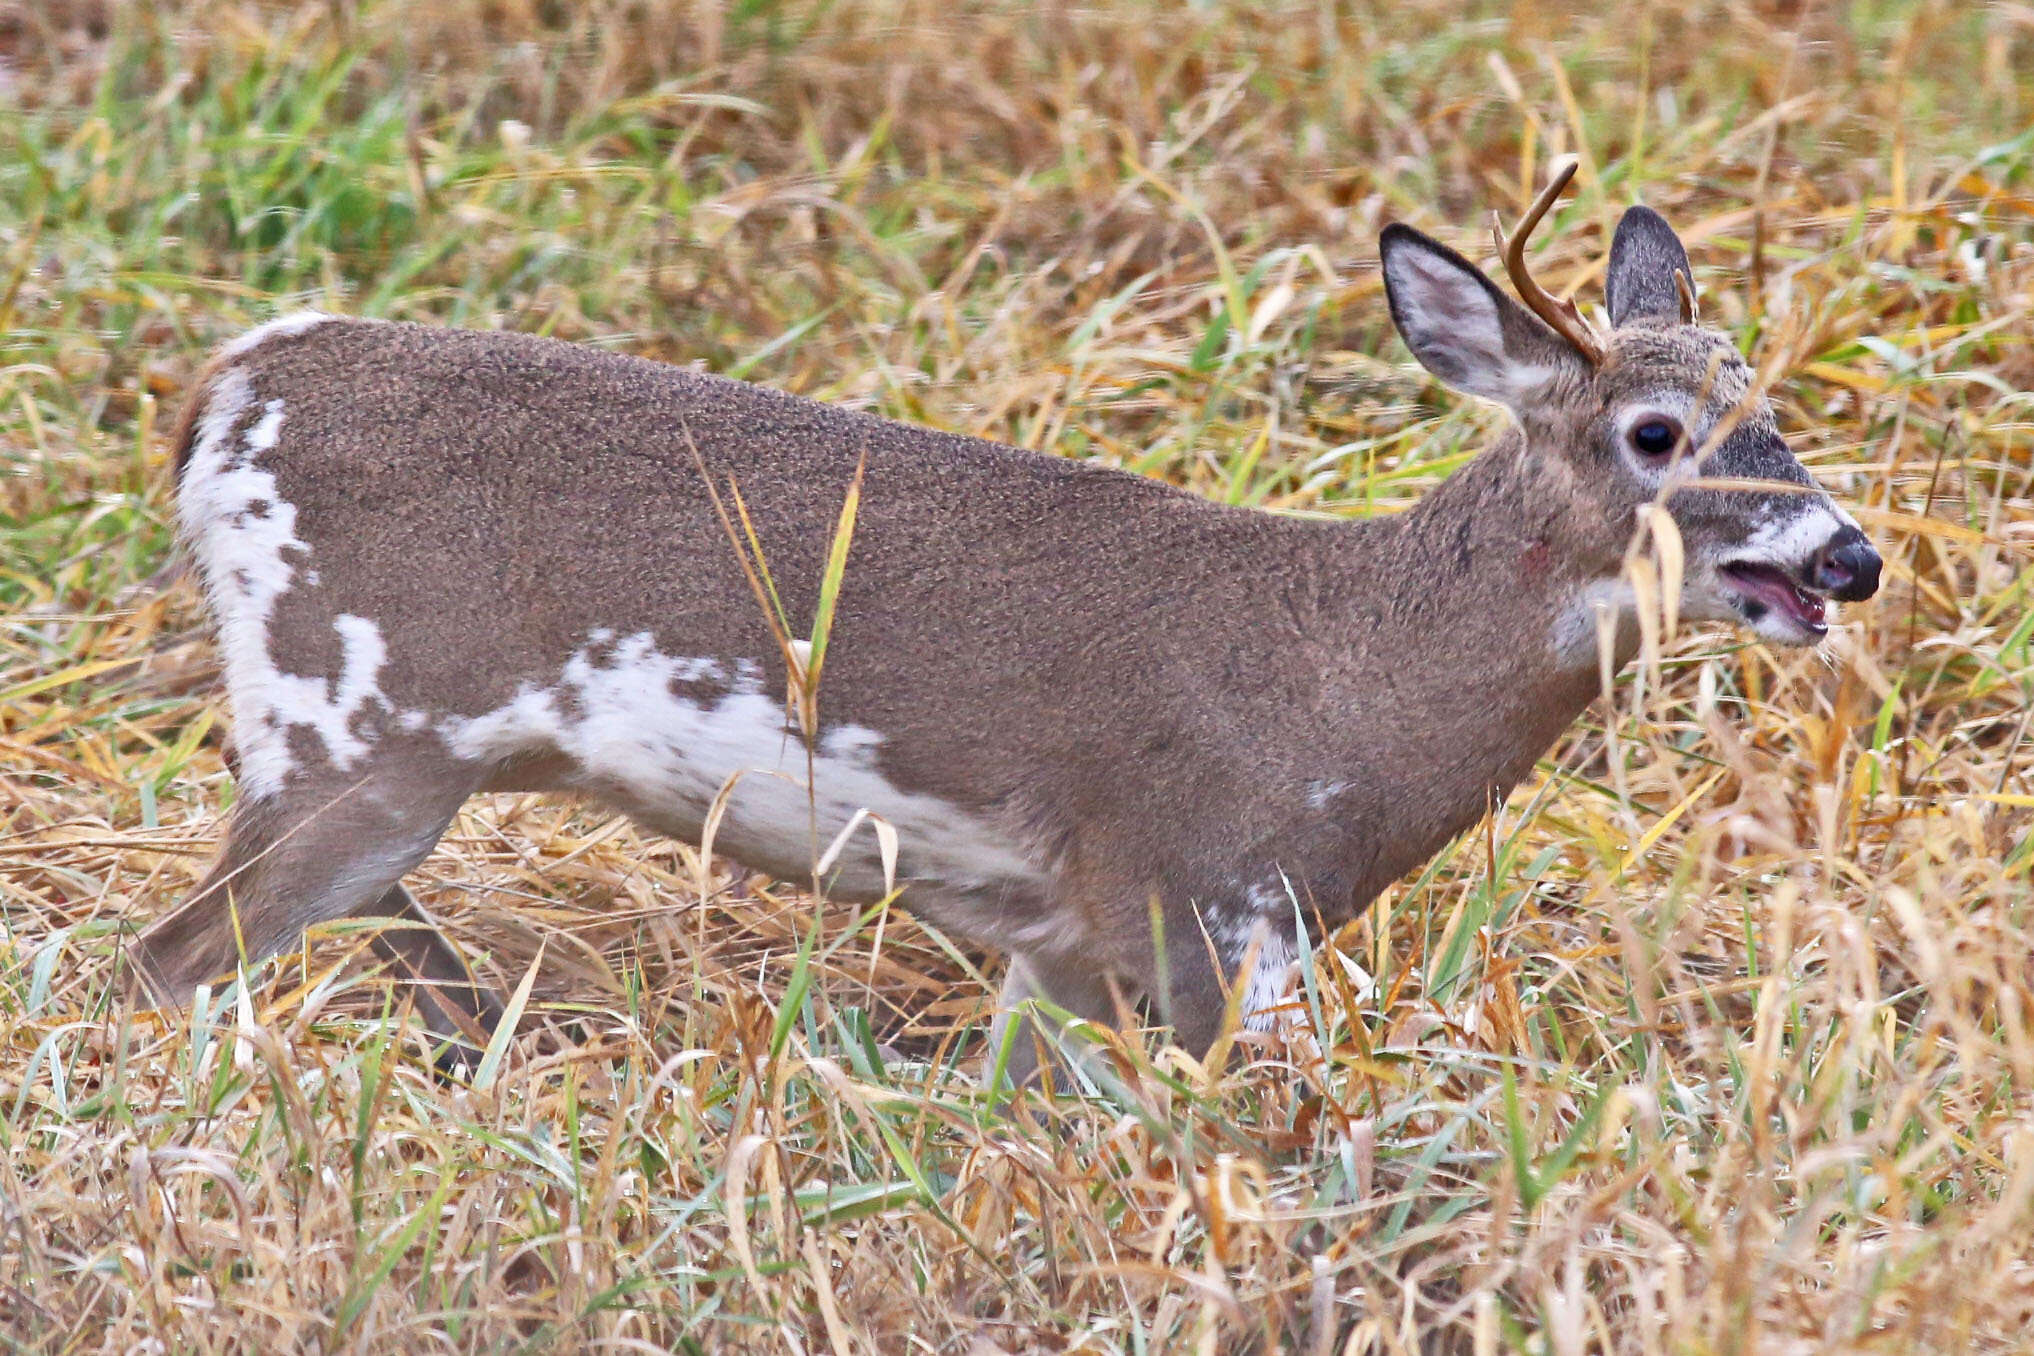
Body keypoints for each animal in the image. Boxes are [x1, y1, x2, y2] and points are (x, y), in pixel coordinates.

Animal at [131, 166, 1871, 1081]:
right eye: (1656, 434)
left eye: (1770, 410)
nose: (1846, 556)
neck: (1346, 688)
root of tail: (229, 388)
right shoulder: (1194, 897)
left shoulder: (1065, 944)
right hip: (353, 721)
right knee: (165, 959)